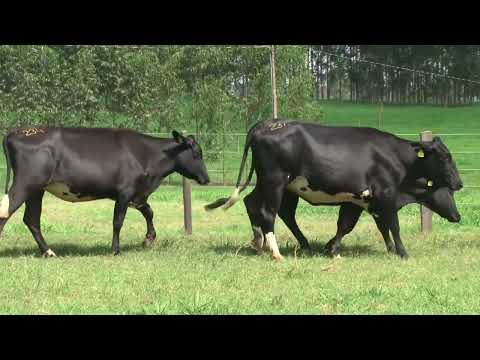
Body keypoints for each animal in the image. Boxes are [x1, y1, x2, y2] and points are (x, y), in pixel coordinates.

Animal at [0, 126, 210, 256]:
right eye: (197, 153)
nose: (206, 179)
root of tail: (17, 132)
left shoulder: (137, 193)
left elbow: (149, 211)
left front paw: (148, 239)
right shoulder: (125, 191)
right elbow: (118, 221)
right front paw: (115, 249)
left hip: (37, 190)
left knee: (31, 219)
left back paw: (48, 252)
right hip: (25, 184)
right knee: (6, 212)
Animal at [205, 119, 462, 260]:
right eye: (445, 157)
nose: (459, 183)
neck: (394, 156)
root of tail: (266, 124)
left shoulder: (361, 201)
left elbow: (354, 226)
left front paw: (334, 248)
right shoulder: (385, 195)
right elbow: (393, 226)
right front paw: (402, 252)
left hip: (272, 184)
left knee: (255, 204)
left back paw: (263, 244)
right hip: (275, 182)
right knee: (269, 213)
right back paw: (275, 252)